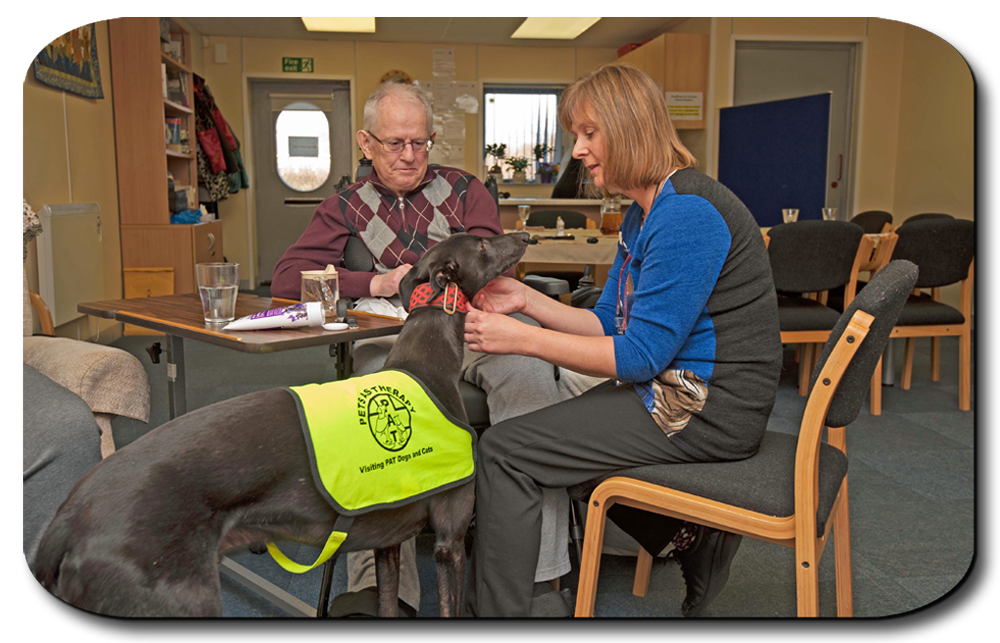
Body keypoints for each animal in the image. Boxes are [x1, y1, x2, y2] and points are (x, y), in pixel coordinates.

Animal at [34, 233, 528, 620]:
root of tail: (65, 519)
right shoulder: (449, 542)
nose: (524, 236)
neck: (427, 362)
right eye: (482, 244)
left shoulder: (388, 541)